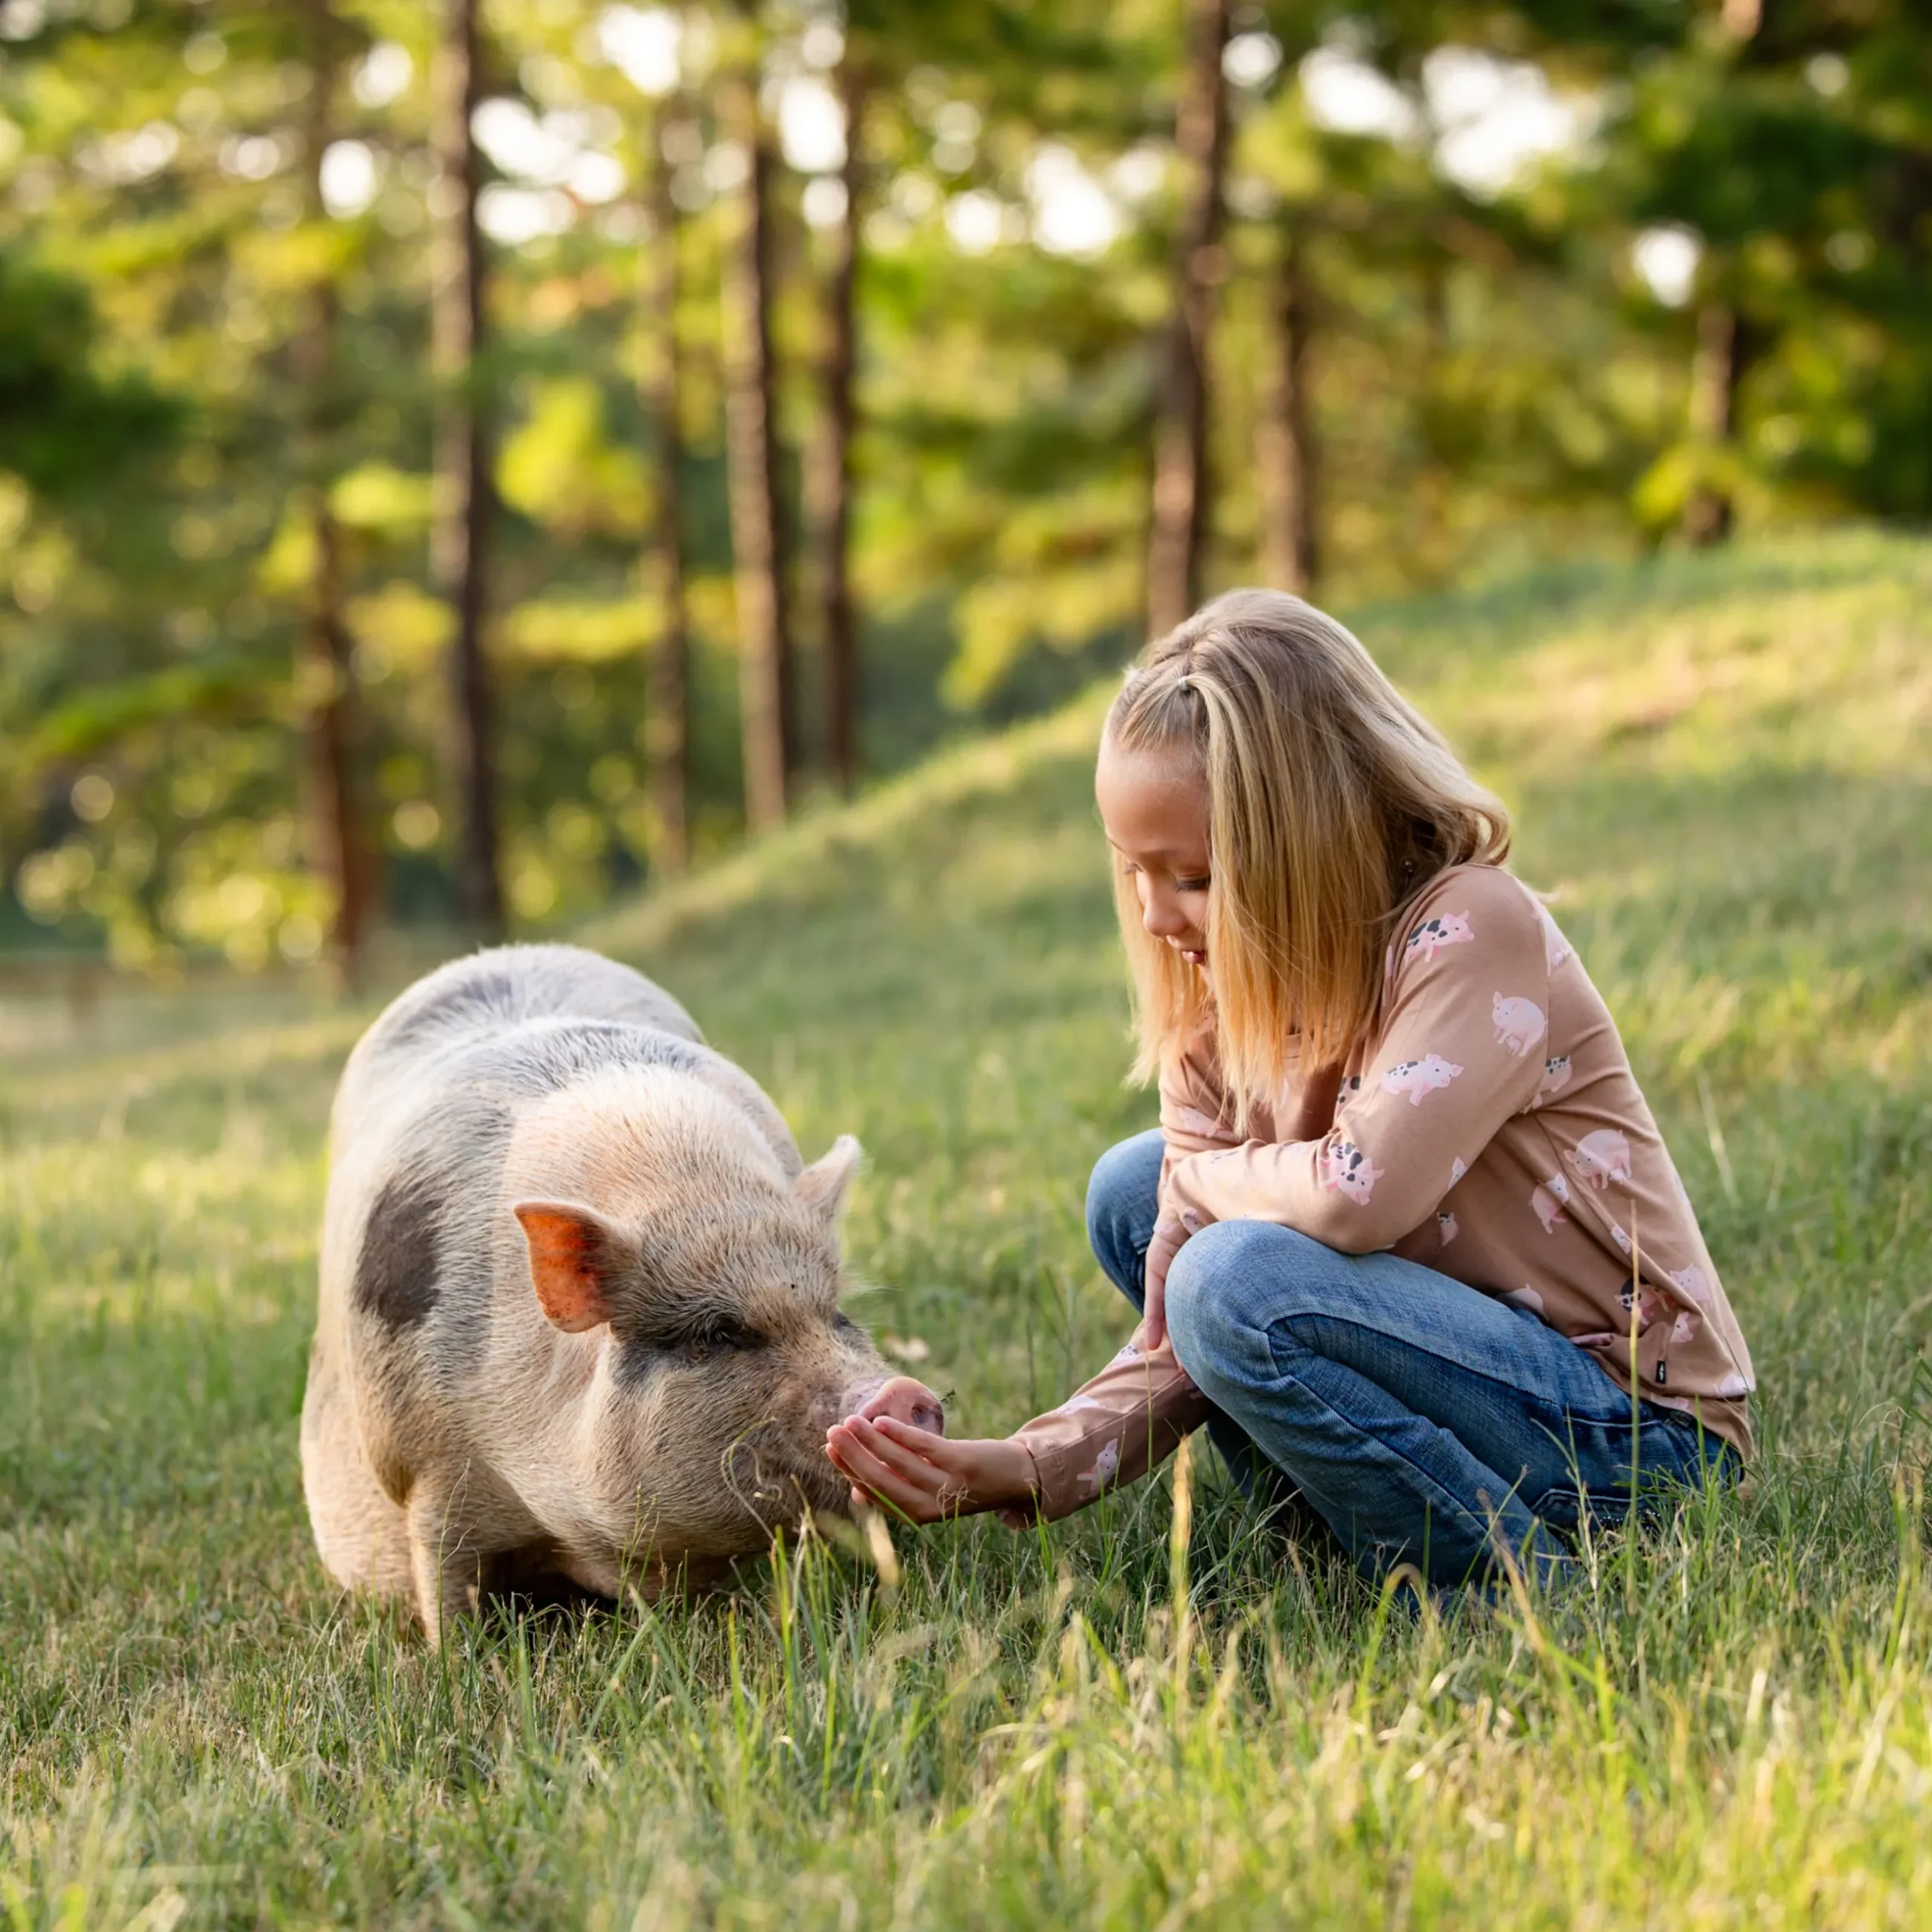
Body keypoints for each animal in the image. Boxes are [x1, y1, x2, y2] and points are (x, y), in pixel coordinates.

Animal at [299, 944, 941, 1646]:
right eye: (719, 1331)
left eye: (835, 1314)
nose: (899, 1393)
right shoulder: (422, 1466)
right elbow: (446, 1576)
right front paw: (454, 1657)